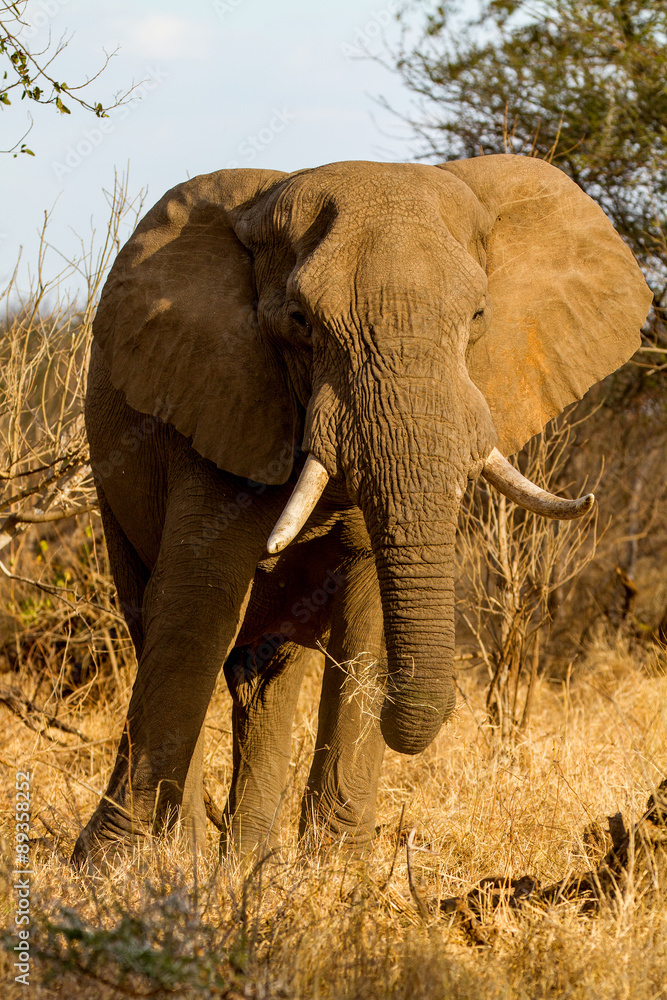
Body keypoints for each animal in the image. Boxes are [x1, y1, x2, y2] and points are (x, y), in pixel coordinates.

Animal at [73, 154, 651, 865]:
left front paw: (336, 869)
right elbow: (197, 602)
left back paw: (247, 864)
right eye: (299, 321)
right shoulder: (223, 392)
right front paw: (117, 870)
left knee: (267, 671)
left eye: (478, 315)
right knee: (161, 621)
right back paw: (199, 857)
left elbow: (371, 605)